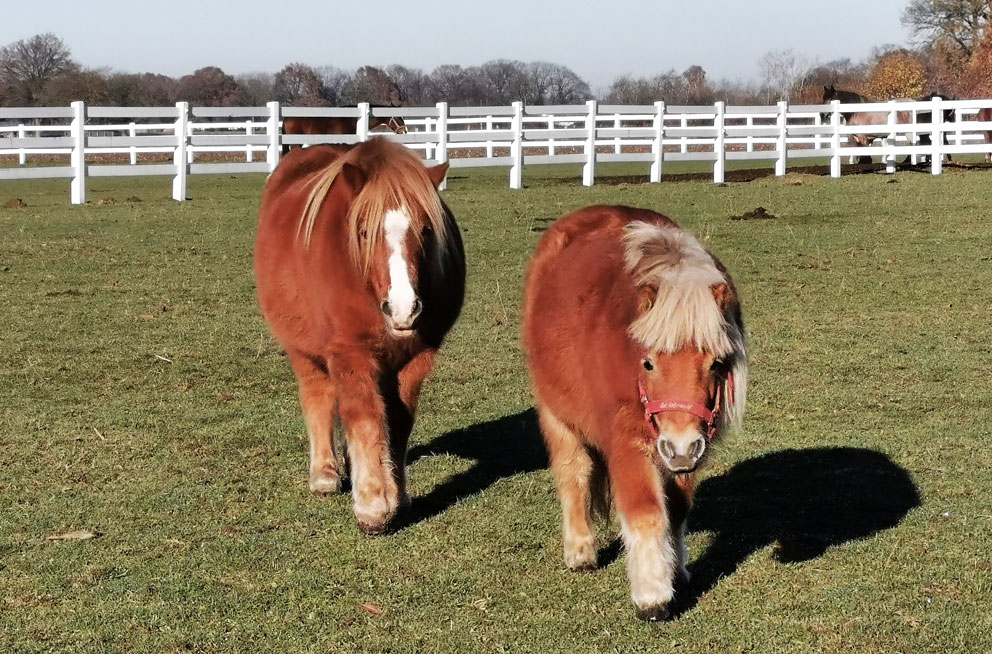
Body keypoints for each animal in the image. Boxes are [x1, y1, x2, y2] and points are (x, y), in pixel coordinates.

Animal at [252, 137, 462, 532]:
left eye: (426, 229)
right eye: (364, 231)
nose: (404, 308)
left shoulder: (415, 359)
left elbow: (397, 422)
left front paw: (397, 495)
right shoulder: (350, 353)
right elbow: (364, 419)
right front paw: (373, 506)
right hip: (304, 352)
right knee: (319, 398)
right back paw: (325, 475)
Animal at [524, 208, 748, 624]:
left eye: (716, 363)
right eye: (649, 362)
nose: (680, 447)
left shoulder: (686, 454)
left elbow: (676, 510)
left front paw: (677, 572)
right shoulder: (626, 442)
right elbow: (645, 512)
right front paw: (652, 596)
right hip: (556, 414)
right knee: (573, 472)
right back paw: (580, 550)